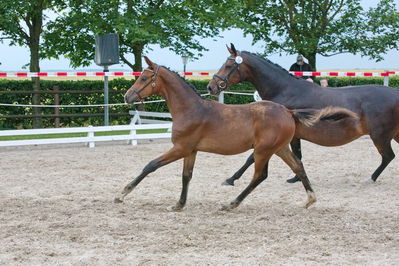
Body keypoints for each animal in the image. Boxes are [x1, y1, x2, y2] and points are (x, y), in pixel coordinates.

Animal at [116, 56, 356, 210]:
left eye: (144, 78)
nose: (127, 96)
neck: (191, 109)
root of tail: (288, 111)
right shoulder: (190, 150)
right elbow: (186, 176)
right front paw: (179, 204)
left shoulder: (180, 148)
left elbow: (151, 166)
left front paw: (122, 194)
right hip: (279, 148)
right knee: (298, 166)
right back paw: (309, 199)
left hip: (263, 150)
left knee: (260, 176)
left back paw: (231, 203)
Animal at [206, 43, 399, 185]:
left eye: (228, 65)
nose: (210, 87)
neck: (285, 90)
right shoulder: (294, 136)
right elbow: (297, 156)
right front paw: (296, 178)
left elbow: (251, 157)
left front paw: (231, 179)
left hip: (379, 135)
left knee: (388, 156)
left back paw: (370, 178)